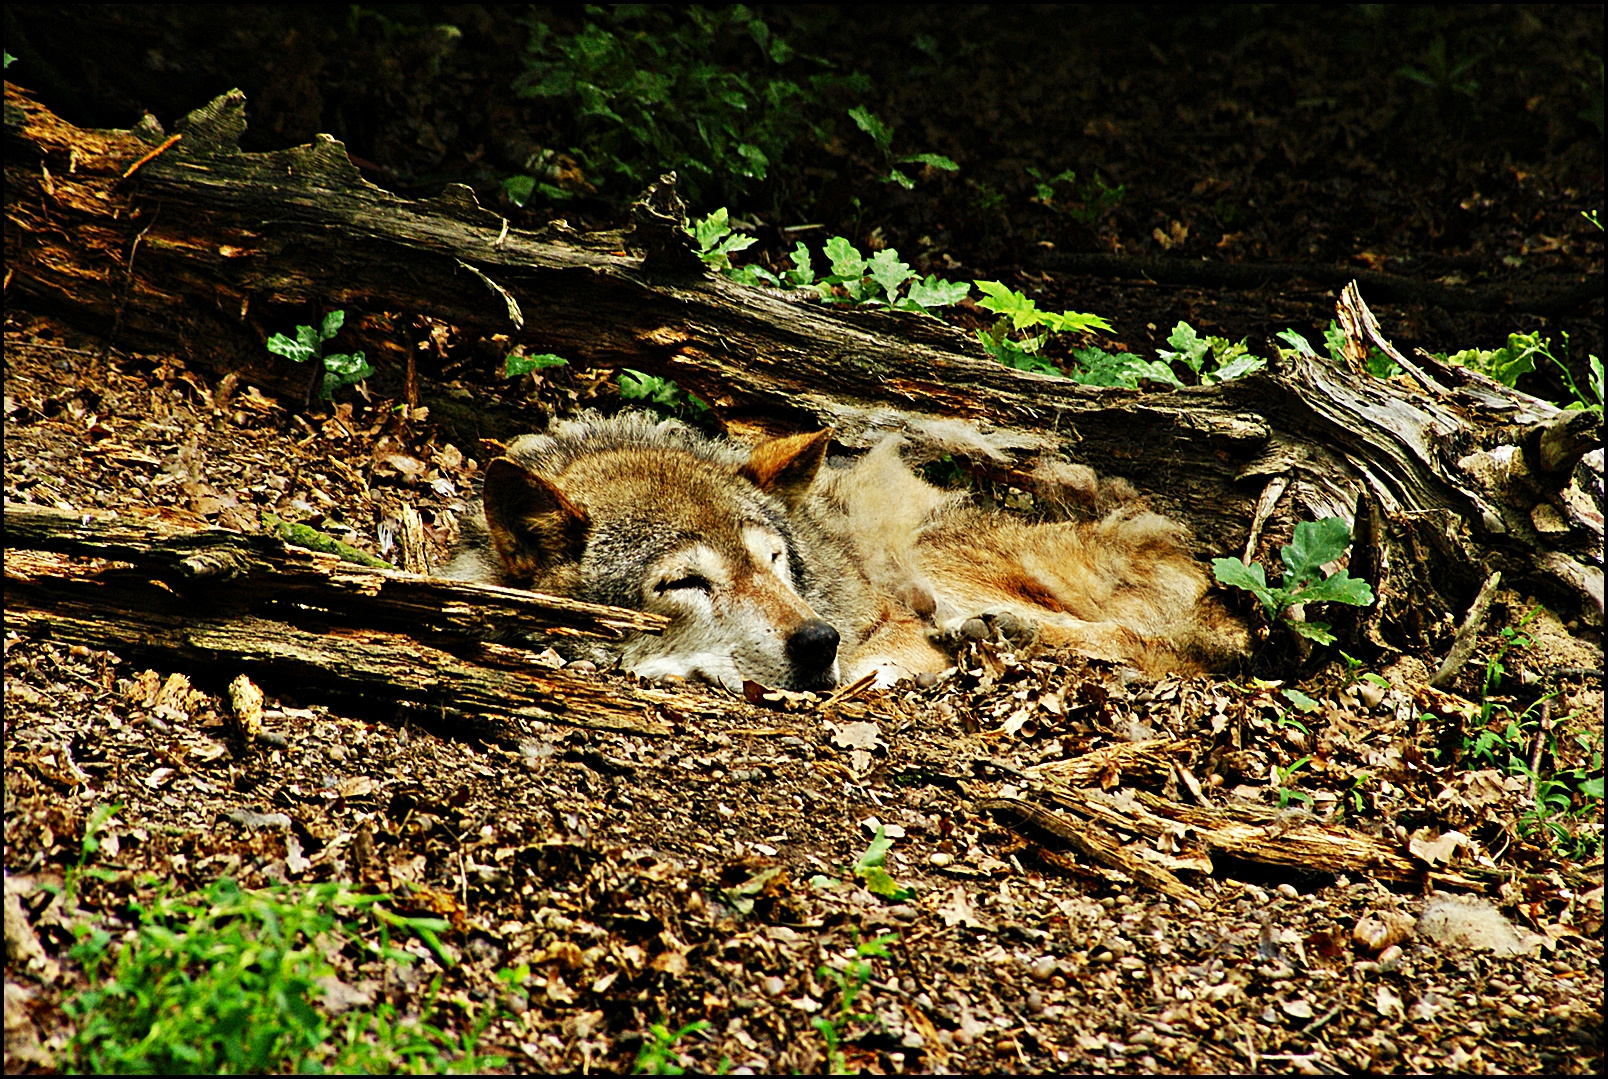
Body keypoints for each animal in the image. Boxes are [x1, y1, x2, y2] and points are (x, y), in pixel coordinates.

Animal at [447, 414, 1247, 691]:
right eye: (683, 583)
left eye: (774, 561)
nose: (817, 639)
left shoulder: (891, 622)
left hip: (931, 551)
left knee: (1160, 647)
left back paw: (1001, 634)